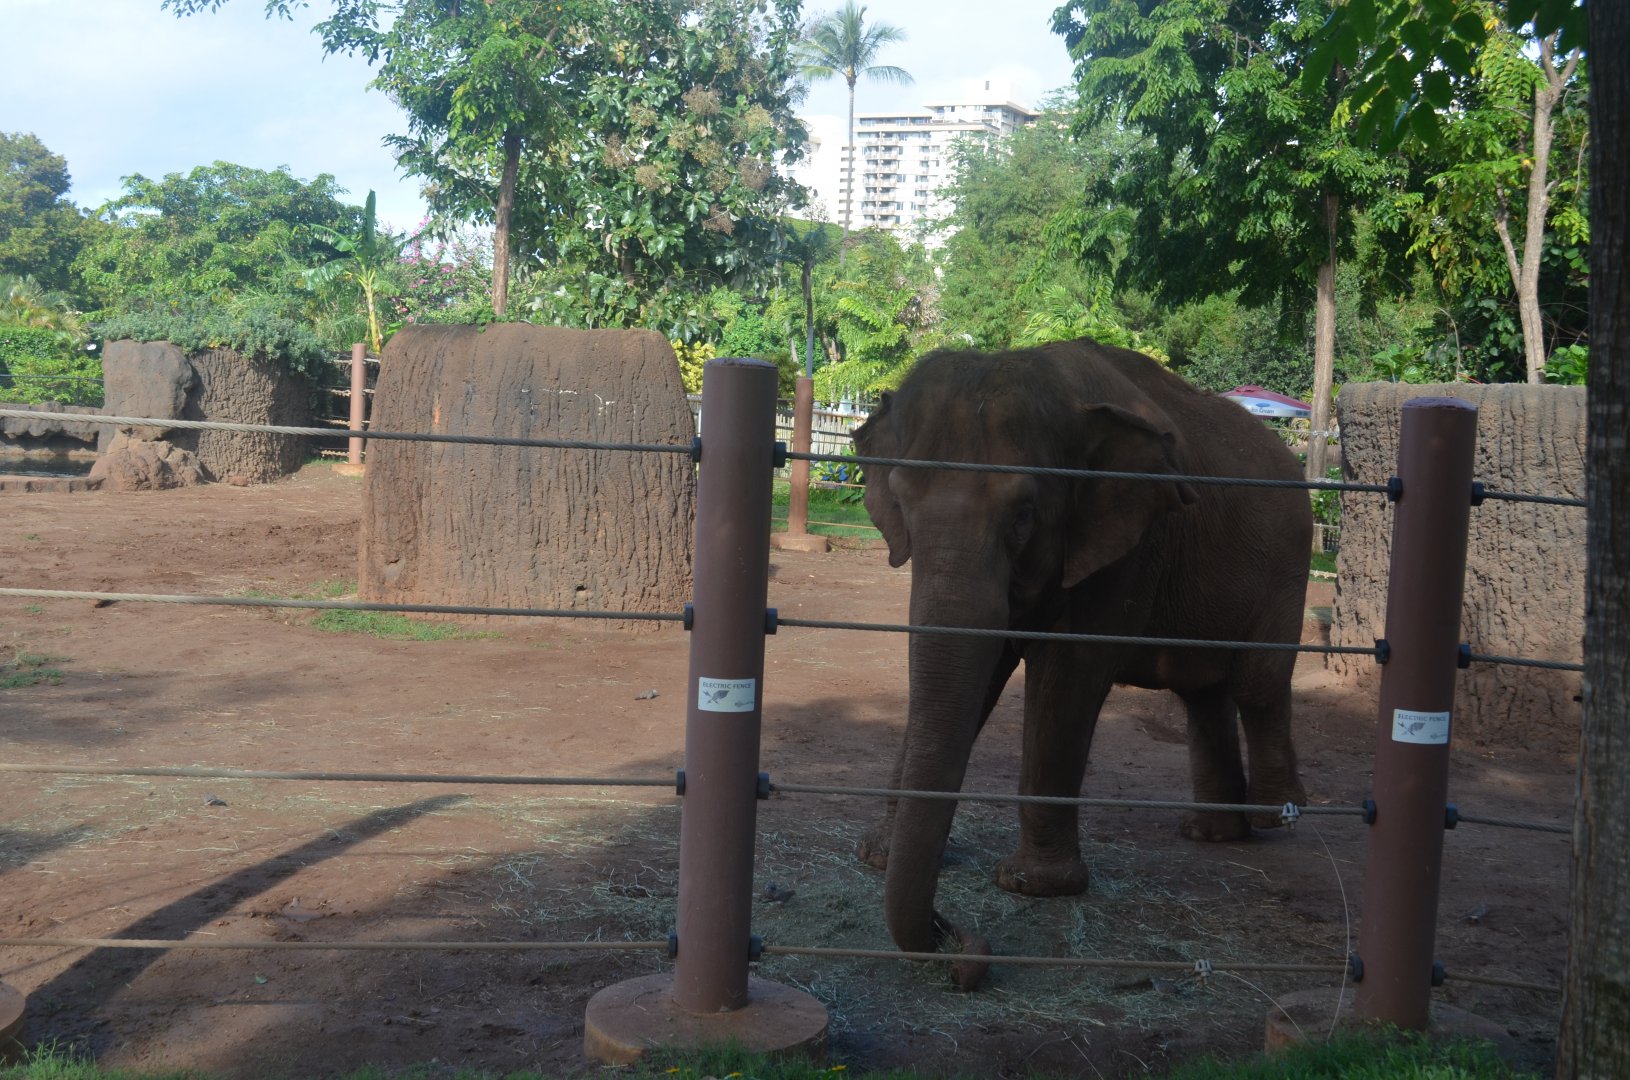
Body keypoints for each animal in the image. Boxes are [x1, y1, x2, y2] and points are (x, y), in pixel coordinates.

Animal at [851, 337, 1311, 990]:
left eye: (1023, 516)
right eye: (903, 505)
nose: (956, 940)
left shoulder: (1125, 539)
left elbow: (1068, 670)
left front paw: (1033, 886)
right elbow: (973, 668)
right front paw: (876, 855)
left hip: (1287, 565)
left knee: (1258, 686)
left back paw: (1273, 819)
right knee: (1204, 691)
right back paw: (1212, 833)